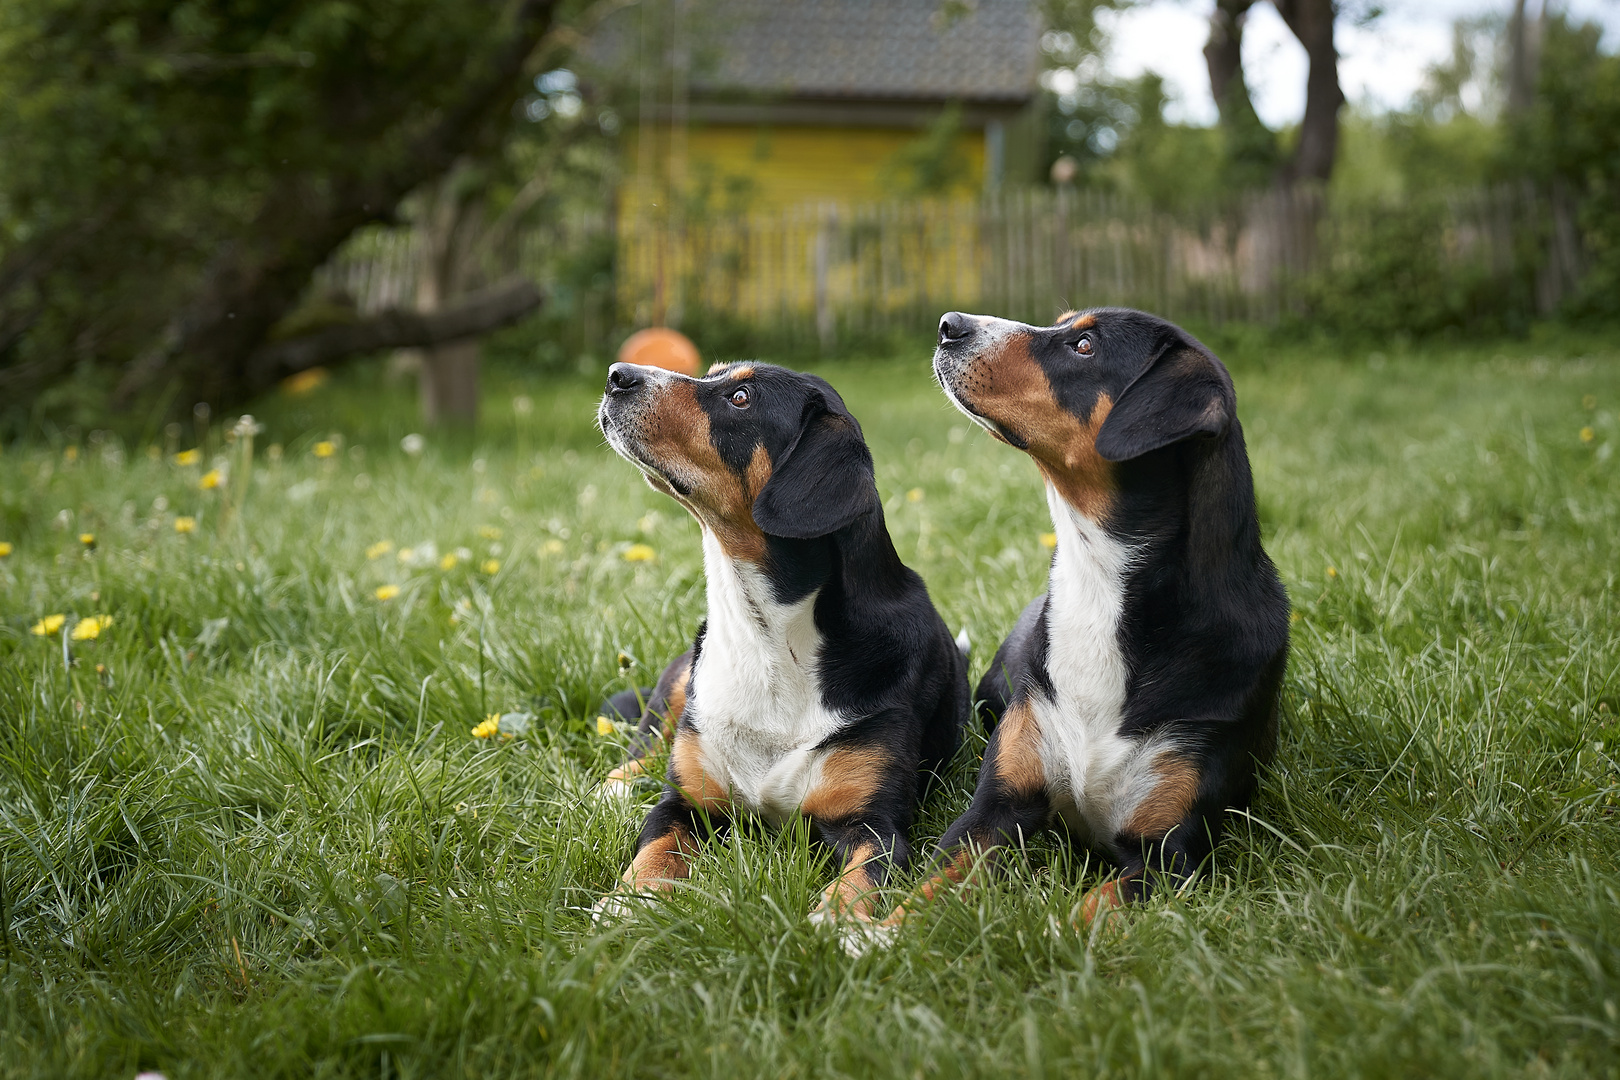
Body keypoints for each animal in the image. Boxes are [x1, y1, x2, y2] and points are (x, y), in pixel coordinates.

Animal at [599, 361, 965, 932]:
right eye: (714, 374)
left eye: (741, 397)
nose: (618, 373)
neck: (767, 641)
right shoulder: (685, 802)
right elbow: (653, 849)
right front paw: (623, 902)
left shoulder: (875, 825)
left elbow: (859, 880)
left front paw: (835, 926)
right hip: (679, 682)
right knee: (644, 743)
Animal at [900, 306, 1289, 932]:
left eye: (1084, 346)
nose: (949, 323)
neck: (1098, 585)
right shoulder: (994, 808)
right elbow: (929, 887)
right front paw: (865, 934)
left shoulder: (1168, 858)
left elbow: (1086, 912)